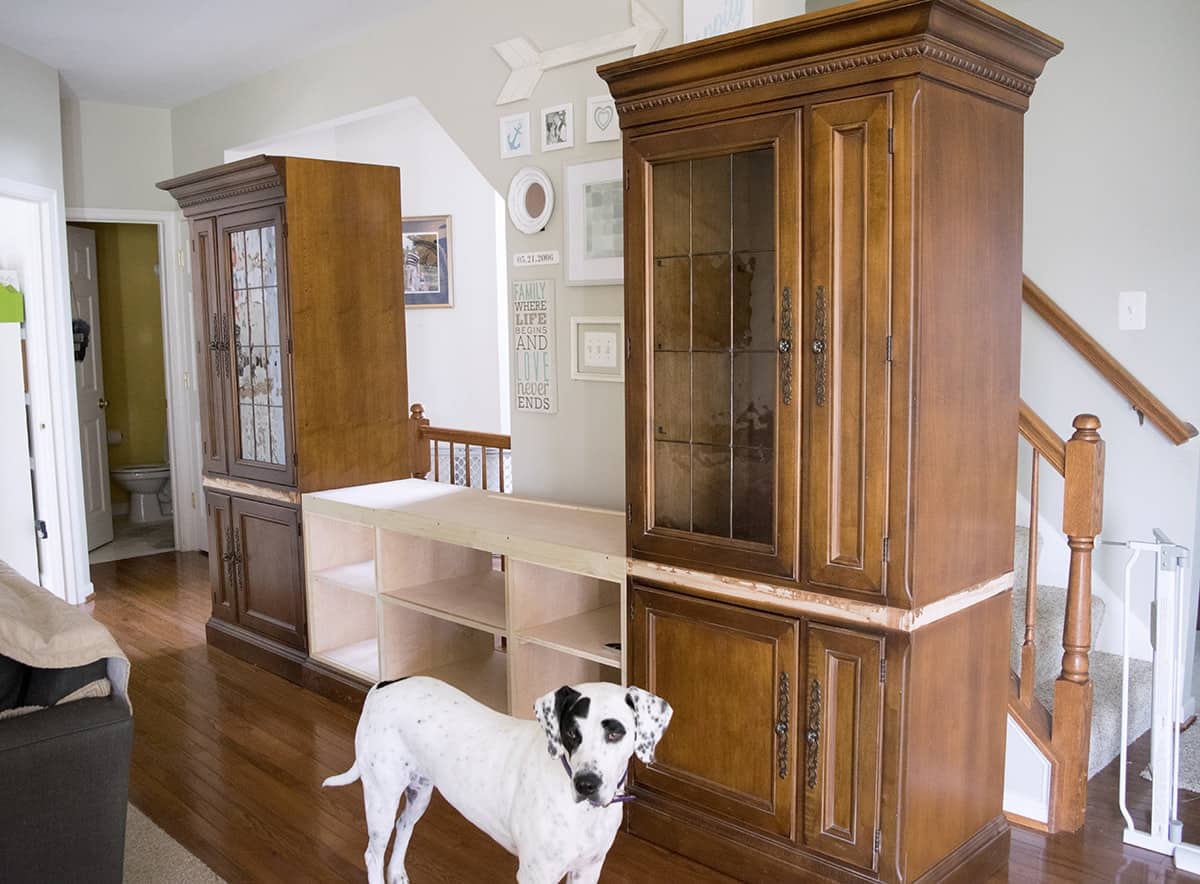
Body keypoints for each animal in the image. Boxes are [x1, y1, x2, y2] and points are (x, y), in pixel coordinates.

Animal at [324, 681, 672, 878]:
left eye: (615, 732)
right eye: (571, 733)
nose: (586, 784)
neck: (583, 815)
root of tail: (383, 684)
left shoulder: (588, 869)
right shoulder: (537, 874)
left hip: (419, 792)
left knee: (404, 826)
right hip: (380, 797)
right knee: (372, 854)